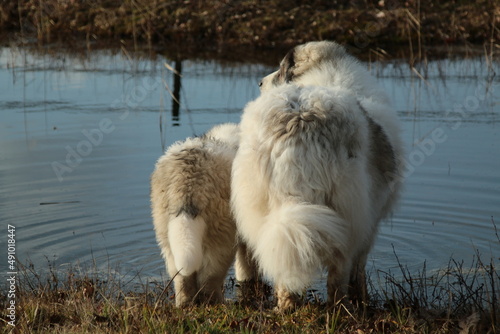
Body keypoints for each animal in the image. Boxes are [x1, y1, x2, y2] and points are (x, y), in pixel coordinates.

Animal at [150, 123, 240, 308]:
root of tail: (189, 181)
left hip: (166, 233)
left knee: (181, 277)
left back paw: (184, 304)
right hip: (222, 237)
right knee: (210, 279)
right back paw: (220, 303)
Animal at [232, 41, 404, 310]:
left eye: (281, 70)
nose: (260, 82)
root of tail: (299, 121)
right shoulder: (370, 223)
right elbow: (359, 269)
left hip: (260, 208)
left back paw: (286, 305)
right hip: (348, 211)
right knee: (339, 270)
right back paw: (340, 309)